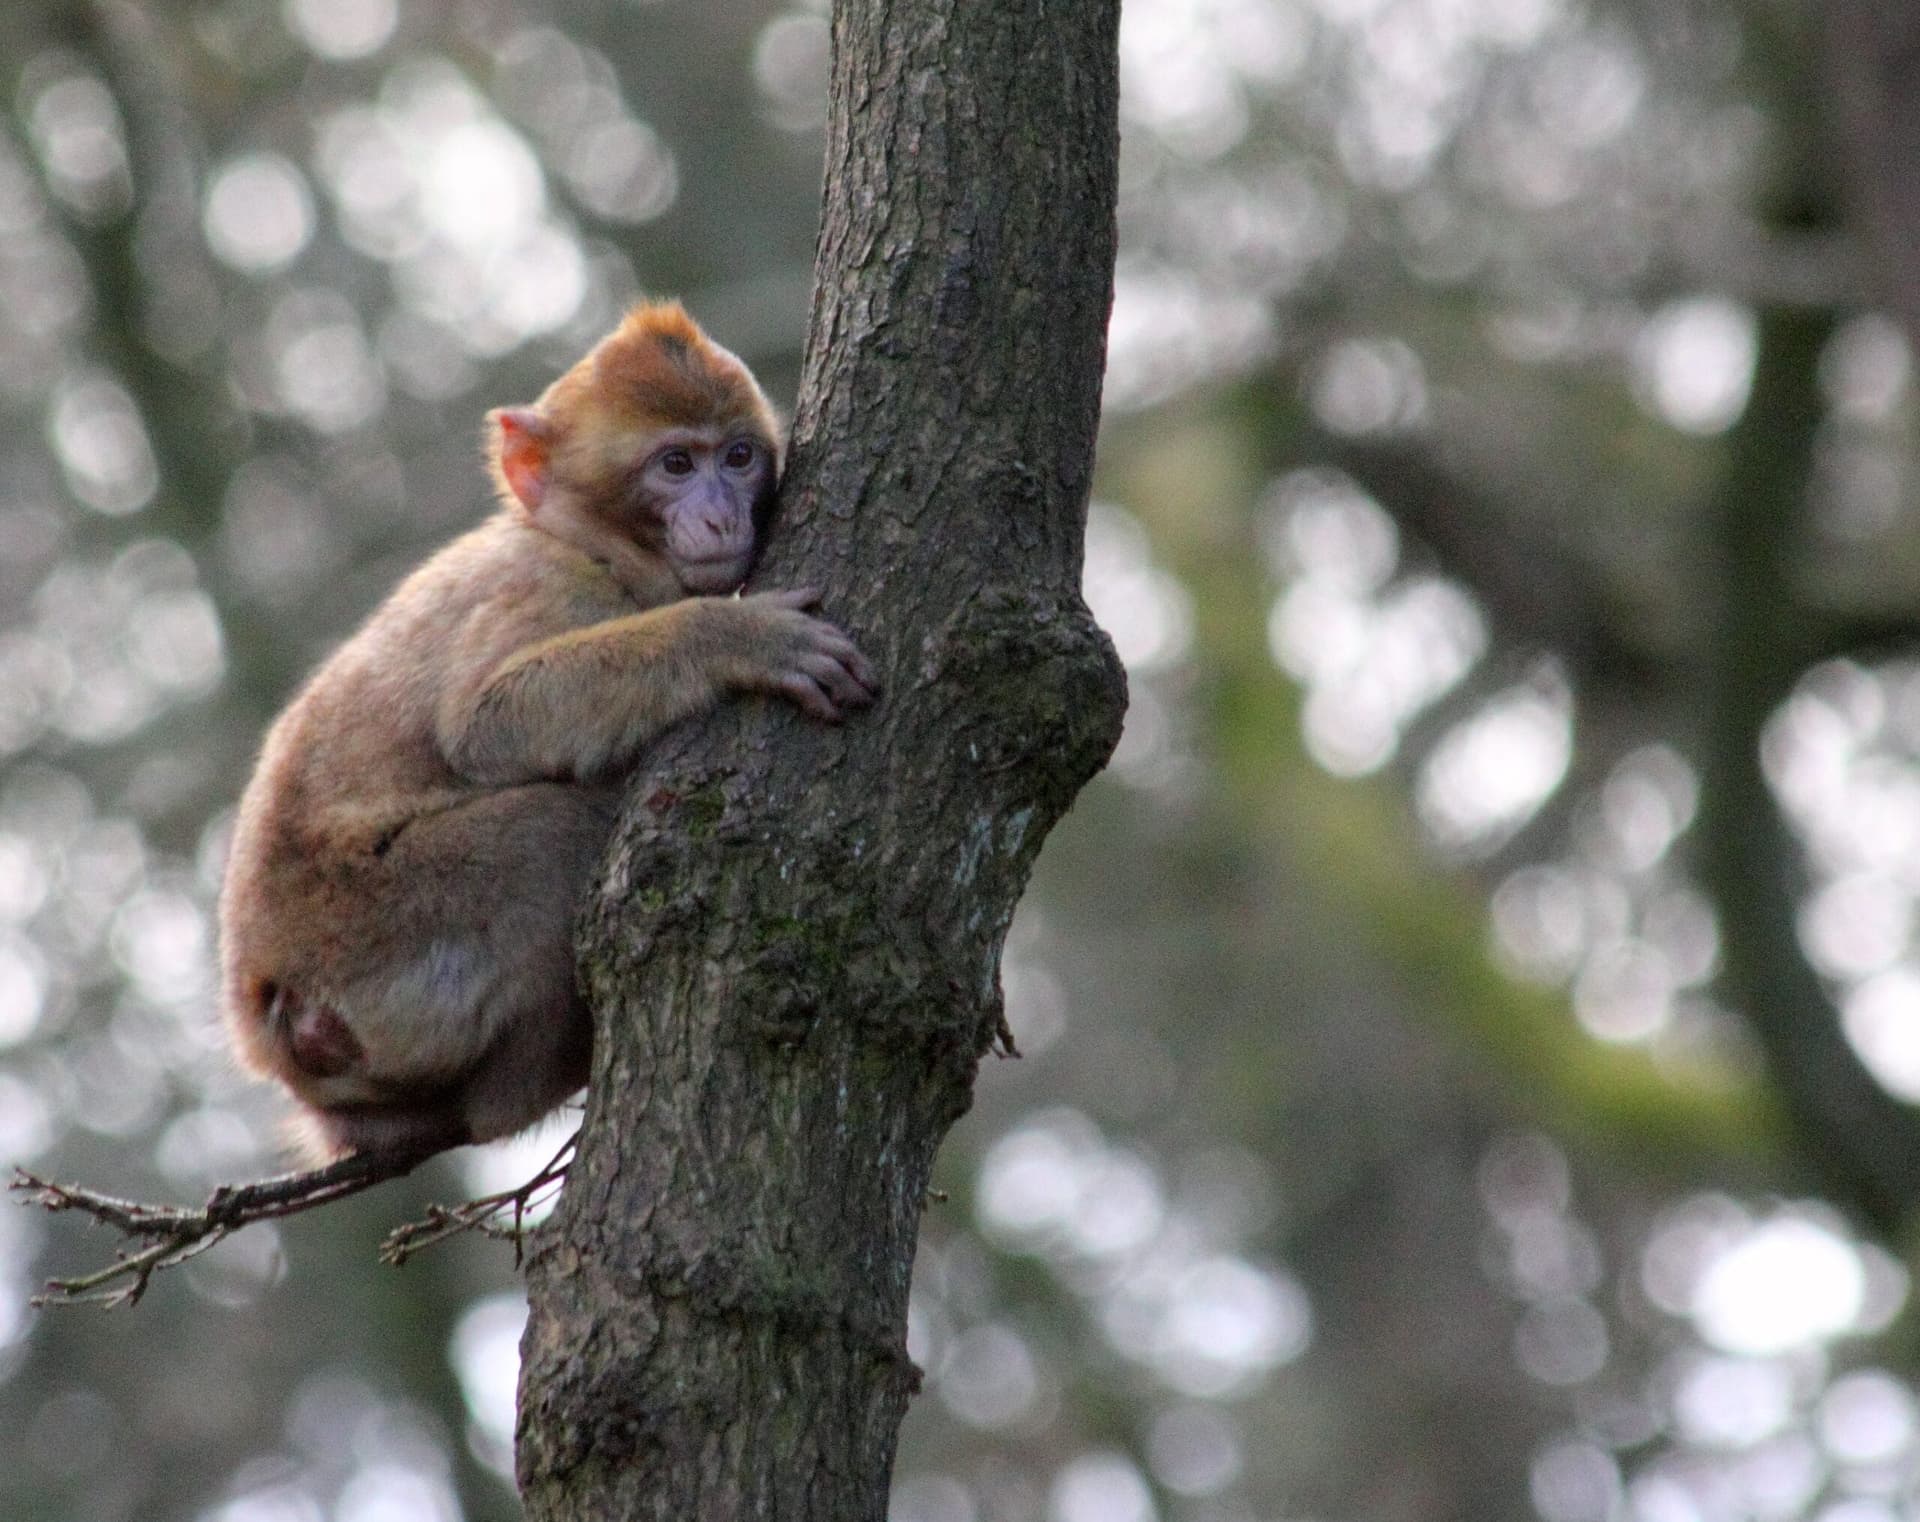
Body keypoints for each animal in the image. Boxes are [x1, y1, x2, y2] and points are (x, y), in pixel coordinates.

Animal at [217, 301, 878, 1163]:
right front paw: (734, 638)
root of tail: (268, 1016)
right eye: (675, 464)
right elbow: (484, 723)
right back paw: (532, 1081)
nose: (721, 513)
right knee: (554, 831)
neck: (587, 545)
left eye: (737, 457)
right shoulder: (548, 591)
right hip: (372, 932)